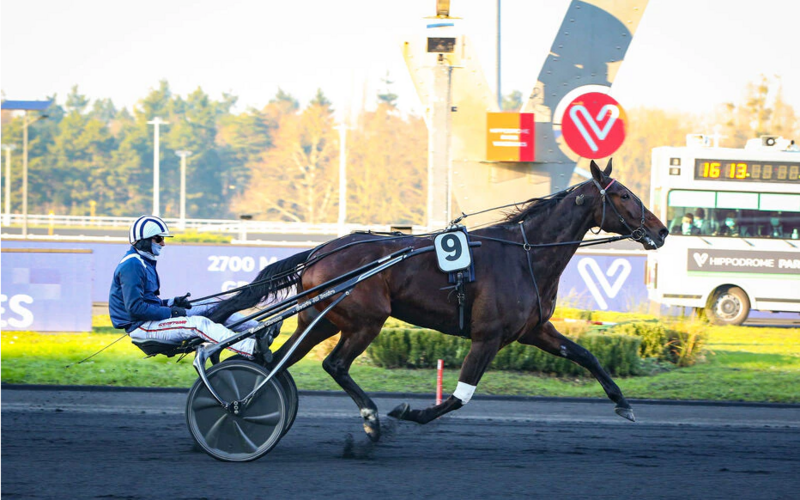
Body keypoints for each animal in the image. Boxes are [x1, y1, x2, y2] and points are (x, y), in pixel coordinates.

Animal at [208, 160, 668, 442]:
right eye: (624, 195)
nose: (661, 231)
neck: (525, 255)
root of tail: (322, 251)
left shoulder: (534, 330)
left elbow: (586, 354)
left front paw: (623, 403)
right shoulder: (488, 336)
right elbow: (459, 396)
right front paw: (407, 414)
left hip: (321, 319)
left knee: (274, 360)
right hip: (366, 319)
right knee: (333, 364)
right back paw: (369, 419)